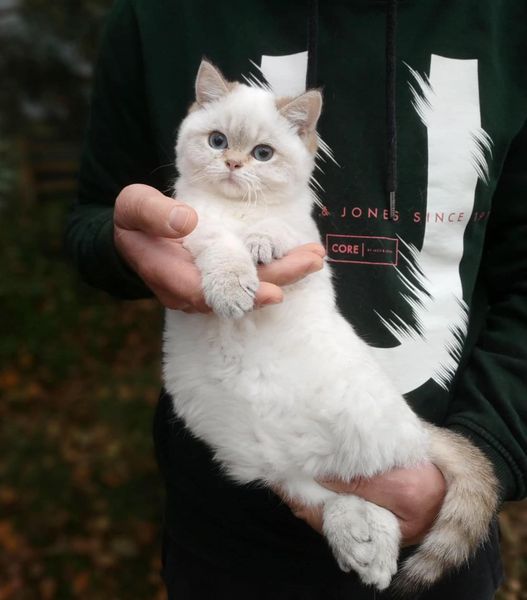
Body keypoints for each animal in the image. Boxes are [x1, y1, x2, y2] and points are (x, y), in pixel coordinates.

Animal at [162, 61, 500, 592]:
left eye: (262, 153)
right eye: (217, 141)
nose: (233, 164)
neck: (240, 209)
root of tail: (416, 427)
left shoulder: (307, 243)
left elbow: (276, 232)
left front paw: (259, 244)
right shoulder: (191, 225)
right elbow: (220, 244)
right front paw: (233, 284)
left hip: (366, 429)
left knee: (387, 485)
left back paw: (374, 557)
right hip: (269, 457)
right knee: (330, 496)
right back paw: (361, 548)